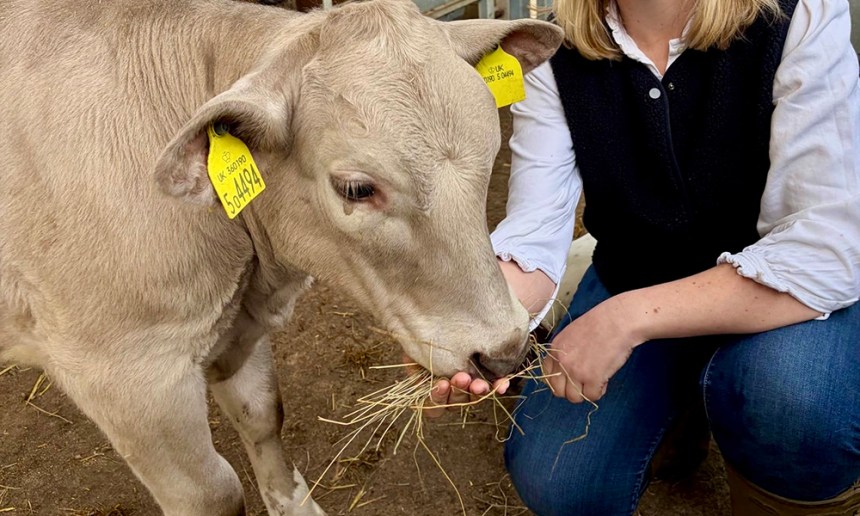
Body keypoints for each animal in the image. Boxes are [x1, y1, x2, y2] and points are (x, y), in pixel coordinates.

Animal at [0, 0, 563, 514]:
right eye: (356, 188)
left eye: (492, 153)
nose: (504, 351)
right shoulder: (130, 377)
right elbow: (215, 494)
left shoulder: (235, 330)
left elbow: (264, 416)